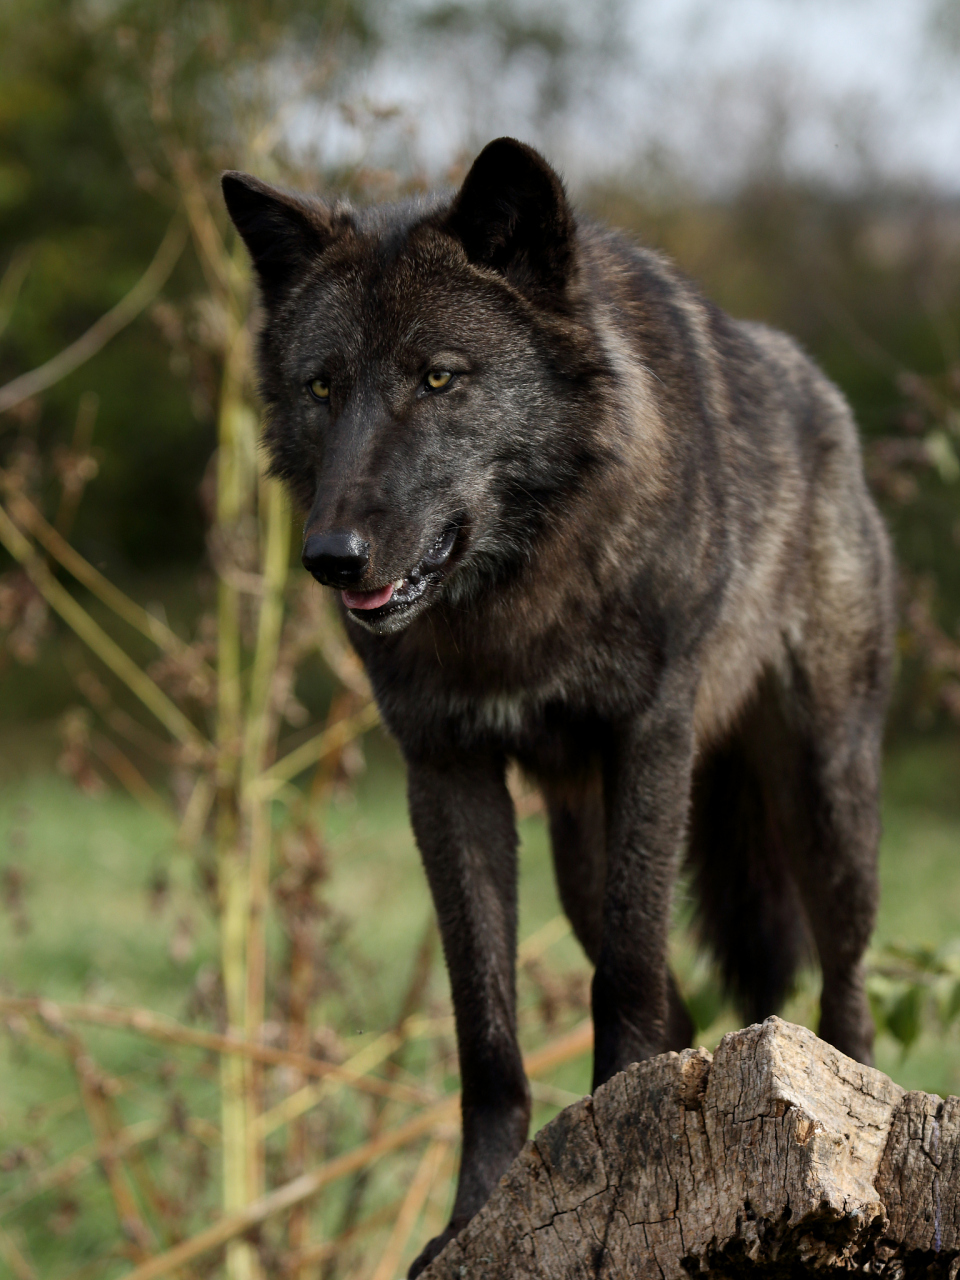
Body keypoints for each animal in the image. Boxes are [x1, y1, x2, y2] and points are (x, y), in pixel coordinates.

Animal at [224, 140, 896, 1269]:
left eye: (438, 376)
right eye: (321, 386)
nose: (331, 558)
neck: (512, 600)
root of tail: (827, 397)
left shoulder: (652, 740)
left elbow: (623, 976)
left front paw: (634, 1157)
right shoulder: (445, 773)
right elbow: (486, 1029)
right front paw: (474, 1215)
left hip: (822, 802)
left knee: (842, 992)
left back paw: (850, 1097)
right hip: (589, 854)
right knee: (678, 997)